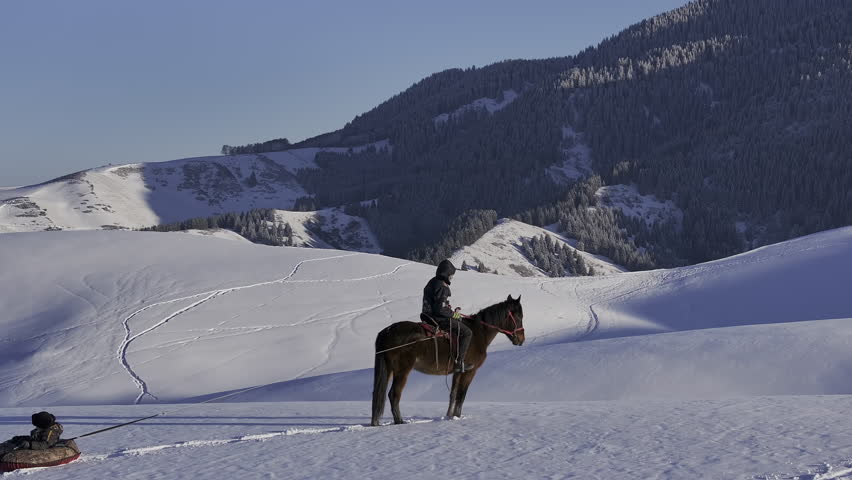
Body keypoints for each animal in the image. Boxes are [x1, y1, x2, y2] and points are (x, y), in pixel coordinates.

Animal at [371, 295, 525, 426]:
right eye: (519, 316)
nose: (521, 339)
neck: (479, 333)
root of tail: (387, 332)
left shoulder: (457, 371)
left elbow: (453, 394)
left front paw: (450, 416)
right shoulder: (470, 371)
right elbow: (461, 395)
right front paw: (457, 416)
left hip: (389, 369)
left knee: (378, 394)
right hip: (402, 370)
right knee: (394, 394)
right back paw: (399, 421)